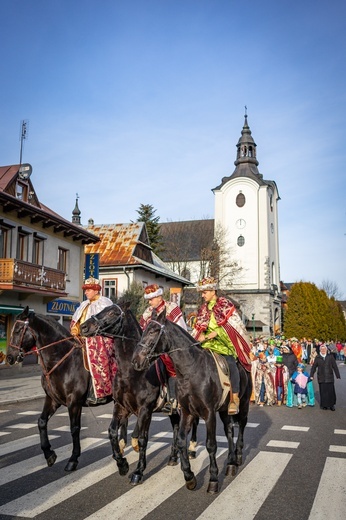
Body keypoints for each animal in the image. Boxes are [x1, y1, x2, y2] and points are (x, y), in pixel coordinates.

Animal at [6, 306, 127, 474]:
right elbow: (41, 422)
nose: (10, 357)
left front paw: (73, 459)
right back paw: (122, 445)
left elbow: (74, 429)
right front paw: (49, 454)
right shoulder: (52, 399)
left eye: (18, 330)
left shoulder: (74, 402)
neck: (62, 360)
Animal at [81, 302, 187, 486]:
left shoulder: (145, 410)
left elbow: (142, 439)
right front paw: (122, 464)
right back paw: (173, 457)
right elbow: (112, 432)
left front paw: (138, 471)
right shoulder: (121, 407)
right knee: (175, 426)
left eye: (112, 312)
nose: (84, 327)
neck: (130, 371)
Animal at [132, 310, 251, 494]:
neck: (192, 370)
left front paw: (213, 479)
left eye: (153, 331)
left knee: (242, 426)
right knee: (229, 430)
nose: (136, 360)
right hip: (224, 410)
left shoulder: (209, 413)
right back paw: (231, 463)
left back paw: (237, 456)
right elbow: (181, 441)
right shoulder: (187, 412)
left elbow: (211, 445)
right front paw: (189, 477)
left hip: (243, 404)